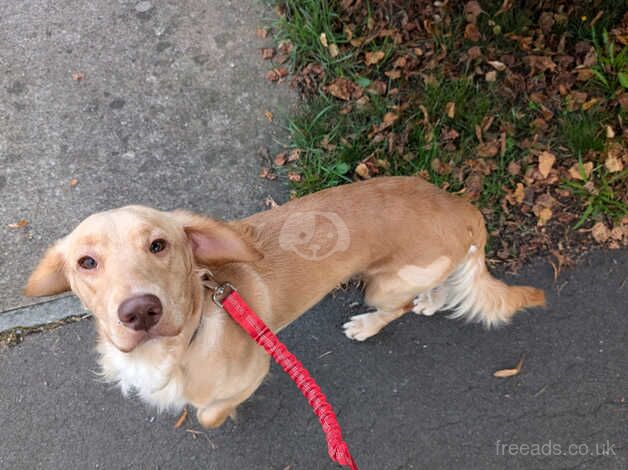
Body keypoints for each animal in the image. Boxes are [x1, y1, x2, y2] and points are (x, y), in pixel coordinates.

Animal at [24, 175, 544, 426]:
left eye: (159, 245)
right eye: (86, 262)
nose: (140, 311)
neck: (182, 343)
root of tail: (463, 208)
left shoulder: (257, 370)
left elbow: (209, 413)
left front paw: (218, 414)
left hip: (384, 285)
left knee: (396, 307)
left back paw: (368, 325)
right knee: (430, 290)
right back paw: (432, 300)